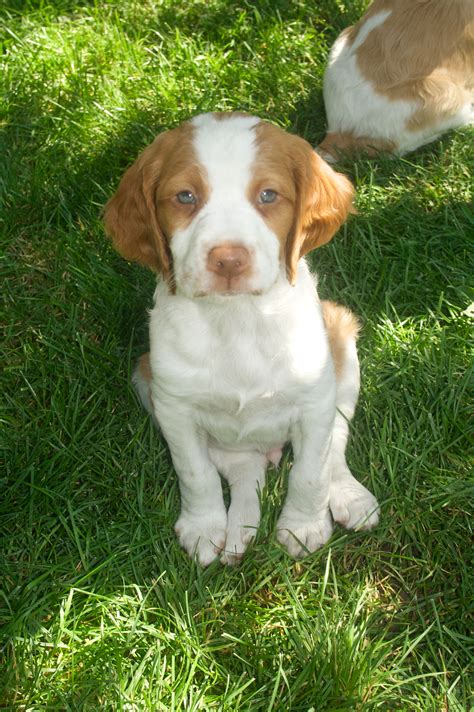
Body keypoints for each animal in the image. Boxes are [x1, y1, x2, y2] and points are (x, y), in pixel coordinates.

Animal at [103, 112, 378, 568]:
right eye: (185, 196)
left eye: (268, 195)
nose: (228, 260)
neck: (237, 319)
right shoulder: (174, 407)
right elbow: (195, 473)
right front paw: (203, 527)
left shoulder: (314, 400)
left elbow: (310, 472)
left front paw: (303, 527)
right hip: (146, 378)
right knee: (241, 470)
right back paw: (236, 533)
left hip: (340, 341)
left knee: (334, 445)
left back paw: (349, 496)